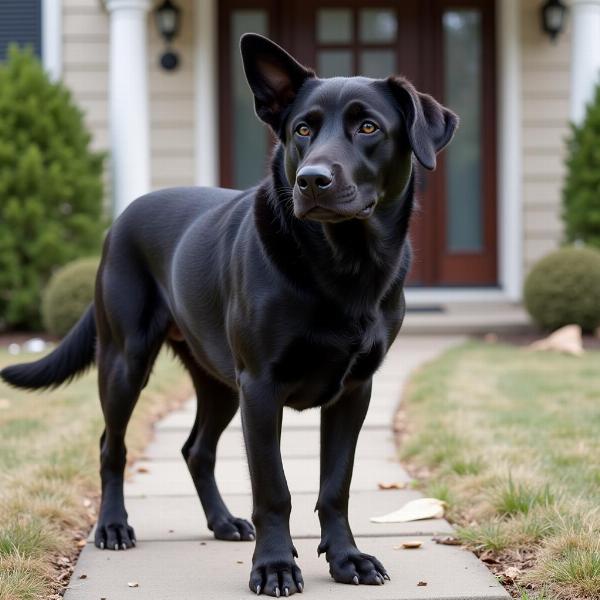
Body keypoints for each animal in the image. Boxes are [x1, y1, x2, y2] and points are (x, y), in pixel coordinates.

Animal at [2, 35, 458, 596]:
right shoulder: (260, 387)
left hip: (219, 382)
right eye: (302, 129)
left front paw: (347, 559)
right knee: (113, 444)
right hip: (126, 361)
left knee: (196, 450)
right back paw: (113, 527)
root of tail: (119, 222)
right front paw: (276, 567)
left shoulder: (355, 390)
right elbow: (273, 489)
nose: (312, 180)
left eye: (368, 127)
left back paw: (222, 522)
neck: (342, 262)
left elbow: (336, 484)